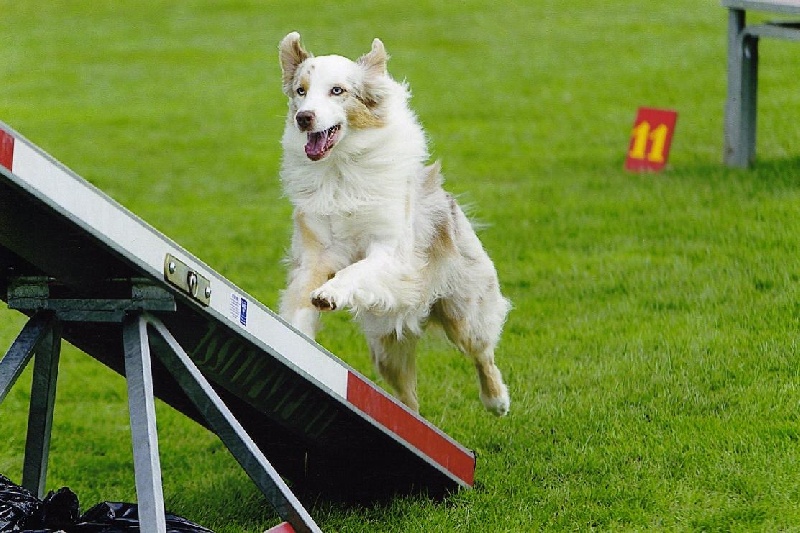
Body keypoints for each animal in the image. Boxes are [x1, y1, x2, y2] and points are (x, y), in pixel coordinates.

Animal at [278, 32, 510, 416]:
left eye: (337, 90)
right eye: (301, 90)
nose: (304, 118)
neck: (341, 169)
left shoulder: (390, 252)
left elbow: (356, 270)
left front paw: (330, 293)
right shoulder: (316, 253)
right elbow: (300, 300)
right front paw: (297, 331)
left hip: (463, 311)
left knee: (481, 352)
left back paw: (497, 400)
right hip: (386, 346)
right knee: (407, 401)